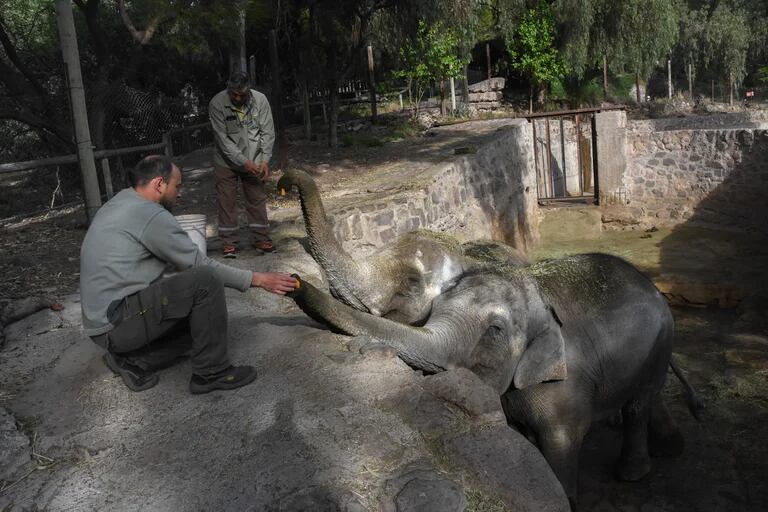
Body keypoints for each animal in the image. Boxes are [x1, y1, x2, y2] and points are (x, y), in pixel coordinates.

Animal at [284, 254, 700, 502]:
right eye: (433, 309)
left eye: (495, 330)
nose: (294, 279)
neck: (534, 291)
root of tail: (654, 287)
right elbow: (522, 436)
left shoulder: (565, 384)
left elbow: (562, 439)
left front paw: (563, 498)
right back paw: (670, 449)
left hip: (659, 344)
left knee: (638, 406)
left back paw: (632, 474)